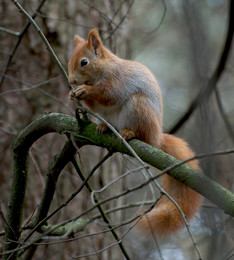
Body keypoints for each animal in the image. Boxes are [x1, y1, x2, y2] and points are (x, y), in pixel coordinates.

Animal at [67, 29, 201, 237]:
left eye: (84, 62)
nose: (71, 81)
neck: (102, 69)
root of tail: (157, 137)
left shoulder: (118, 80)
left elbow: (108, 93)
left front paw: (85, 90)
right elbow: (96, 104)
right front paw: (74, 94)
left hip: (139, 107)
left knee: (141, 133)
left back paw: (130, 133)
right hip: (110, 116)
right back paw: (104, 127)